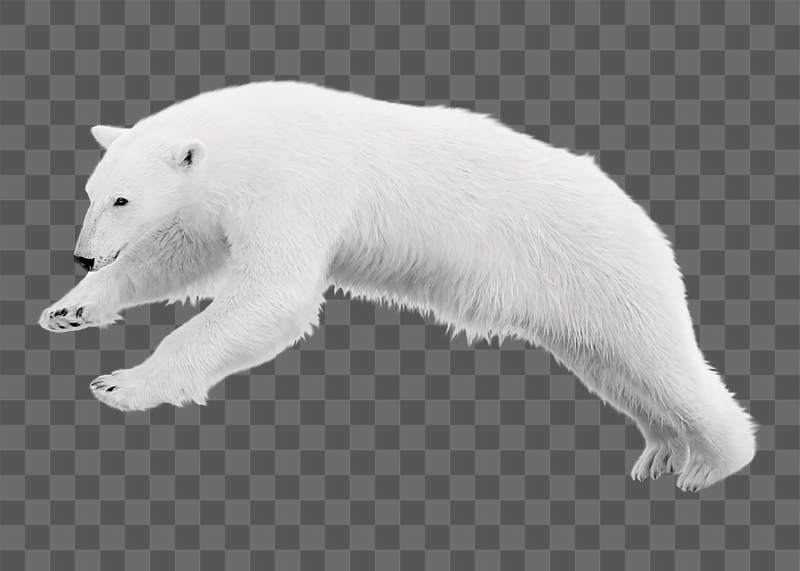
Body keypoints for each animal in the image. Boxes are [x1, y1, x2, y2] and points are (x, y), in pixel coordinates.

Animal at [39, 80, 757, 491]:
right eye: (92, 192)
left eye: (123, 198)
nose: (80, 256)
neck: (247, 136)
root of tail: (641, 216)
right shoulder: (222, 203)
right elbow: (180, 256)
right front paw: (69, 310)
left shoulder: (293, 183)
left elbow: (274, 294)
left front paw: (121, 384)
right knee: (617, 369)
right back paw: (661, 452)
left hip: (598, 266)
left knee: (658, 359)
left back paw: (709, 463)